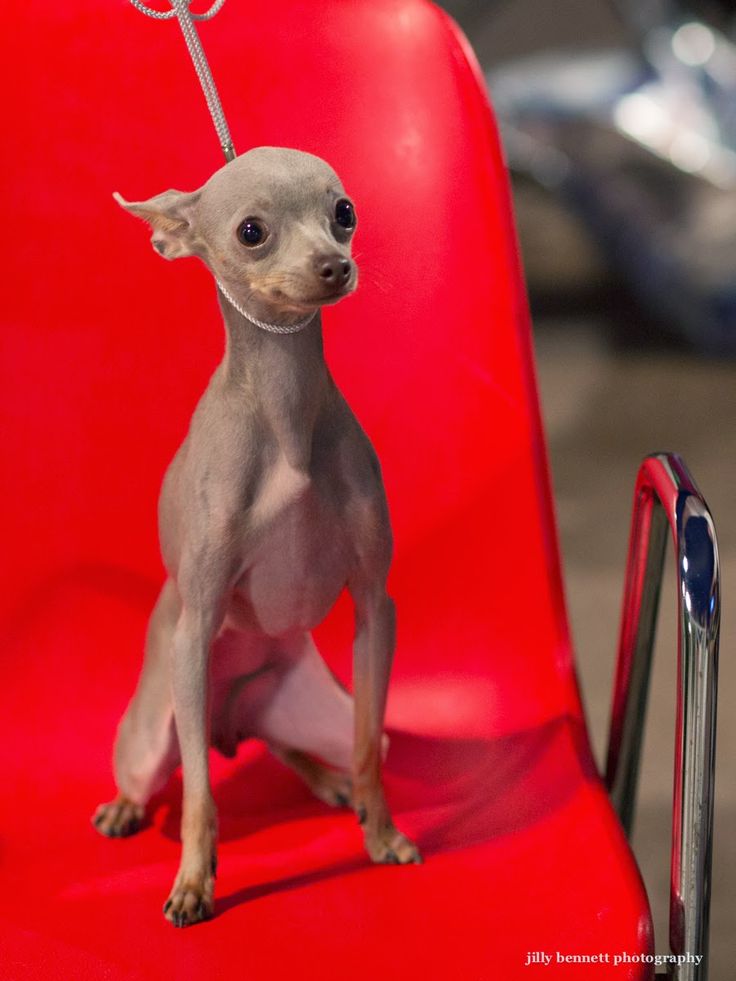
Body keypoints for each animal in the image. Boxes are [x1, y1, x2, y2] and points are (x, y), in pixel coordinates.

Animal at [92, 145, 420, 928]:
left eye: (344, 211)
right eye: (251, 232)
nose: (334, 265)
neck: (286, 413)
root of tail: (227, 719)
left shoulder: (375, 607)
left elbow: (370, 751)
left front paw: (382, 830)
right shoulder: (198, 624)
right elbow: (199, 798)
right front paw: (194, 880)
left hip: (309, 707)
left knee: (290, 743)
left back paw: (330, 783)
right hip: (156, 726)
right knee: (171, 769)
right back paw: (124, 807)